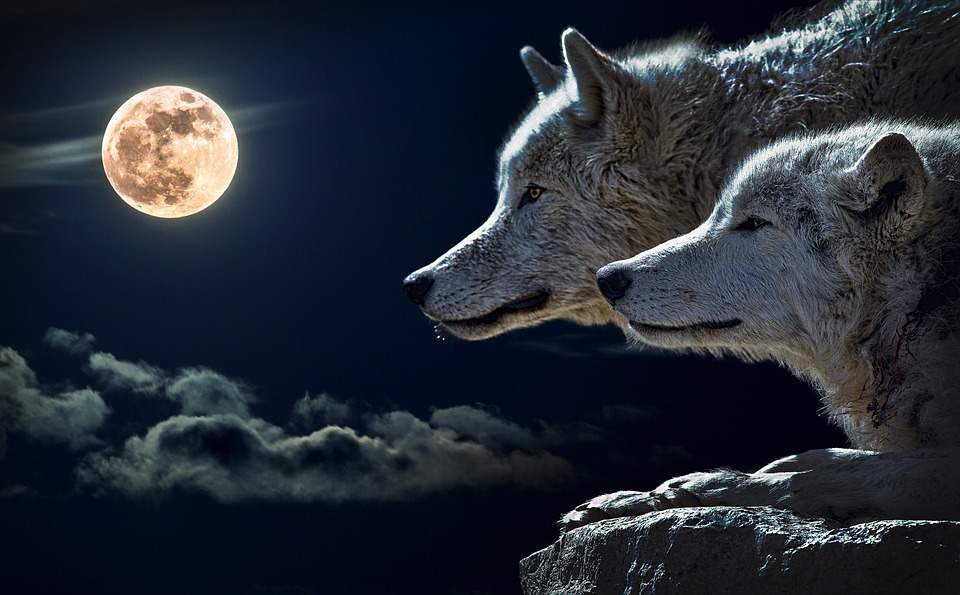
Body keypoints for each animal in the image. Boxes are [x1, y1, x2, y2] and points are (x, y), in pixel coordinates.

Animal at [560, 121, 960, 529]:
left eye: (755, 222)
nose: (607, 278)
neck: (919, 303)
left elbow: (817, 478)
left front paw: (694, 489)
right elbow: (822, 458)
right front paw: (631, 497)